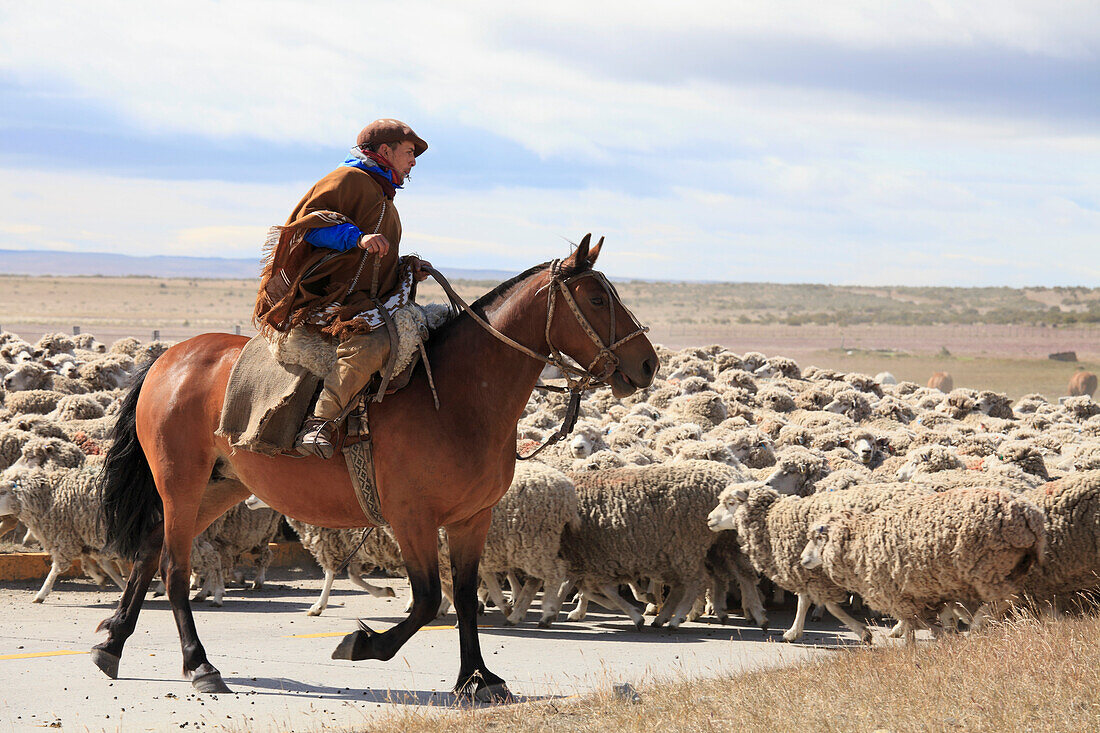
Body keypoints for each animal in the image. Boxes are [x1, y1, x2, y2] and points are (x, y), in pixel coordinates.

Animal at [92, 238, 651, 695]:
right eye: (596, 298)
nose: (648, 363)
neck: (458, 398)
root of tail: (169, 357)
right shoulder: (411, 518)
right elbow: (425, 600)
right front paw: (362, 645)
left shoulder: (474, 519)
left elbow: (464, 596)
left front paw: (477, 680)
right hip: (180, 483)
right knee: (174, 566)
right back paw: (199, 664)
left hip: (220, 486)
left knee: (149, 550)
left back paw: (111, 645)